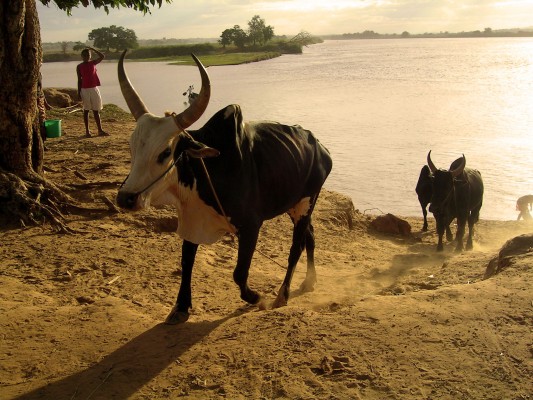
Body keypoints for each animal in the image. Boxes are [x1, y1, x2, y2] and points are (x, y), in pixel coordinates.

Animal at [116, 51, 332, 324]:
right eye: (132, 147)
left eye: (165, 152)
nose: (126, 198)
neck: (208, 169)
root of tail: (320, 146)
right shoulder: (193, 219)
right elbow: (187, 262)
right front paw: (181, 307)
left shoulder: (251, 226)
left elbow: (239, 273)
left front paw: (257, 298)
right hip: (296, 205)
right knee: (310, 236)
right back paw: (309, 281)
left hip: (307, 201)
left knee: (297, 246)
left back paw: (282, 295)